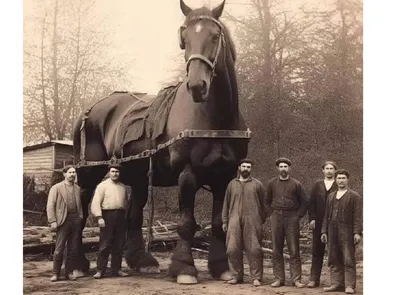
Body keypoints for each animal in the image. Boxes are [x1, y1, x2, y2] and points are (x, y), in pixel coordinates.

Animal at [70, 0, 248, 286]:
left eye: (214, 36)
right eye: (184, 39)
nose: (197, 85)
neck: (215, 119)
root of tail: (90, 109)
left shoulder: (223, 175)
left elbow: (217, 223)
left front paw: (221, 267)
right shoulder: (188, 174)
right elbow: (187, 224)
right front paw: (185, 268)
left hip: (139, 178)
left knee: (133, 217)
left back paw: (141, 261)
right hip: (89, 174)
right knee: (81, 215)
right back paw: (77, 265)